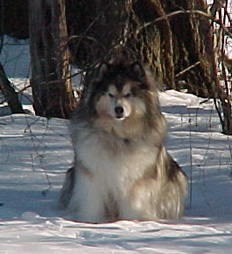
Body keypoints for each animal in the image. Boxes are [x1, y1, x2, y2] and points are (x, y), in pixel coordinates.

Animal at [59, 59, 188, 222]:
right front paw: (91, 221)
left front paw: (131, 221)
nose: (119, 109)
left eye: (128, 94)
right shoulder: (92, 175)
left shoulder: (136, 179)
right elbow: (92, 202)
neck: (118, 135)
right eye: (110, 94)